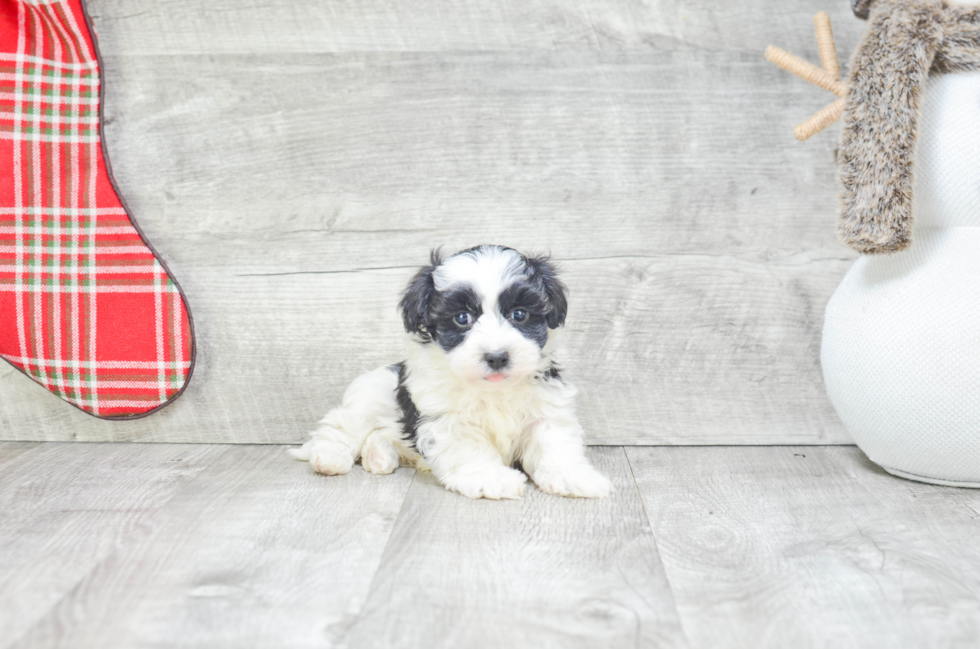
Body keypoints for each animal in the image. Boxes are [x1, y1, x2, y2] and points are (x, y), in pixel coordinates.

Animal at [290, 246, 612, 498]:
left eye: (519, 314)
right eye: (462, 318)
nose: (497, 357)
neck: (493, 389)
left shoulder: (545, 407)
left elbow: (553, 442)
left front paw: (573, 477)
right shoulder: (446, 419)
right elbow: (469, 448)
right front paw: (491, 479)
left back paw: (379, 456)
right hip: (369, 399)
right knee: (342, 426)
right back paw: (329, 457)